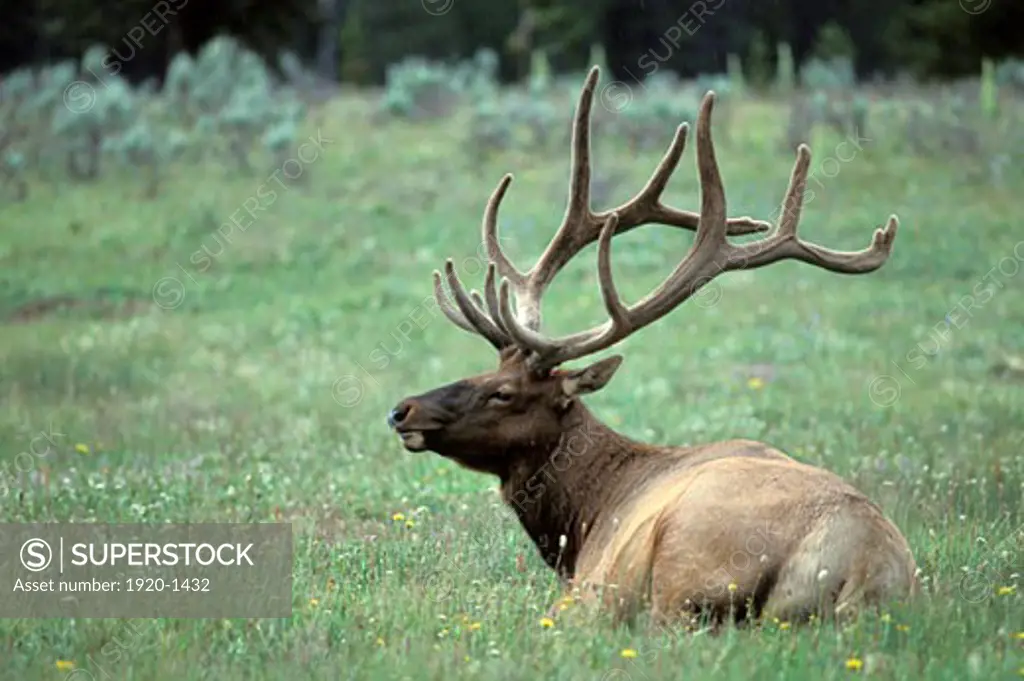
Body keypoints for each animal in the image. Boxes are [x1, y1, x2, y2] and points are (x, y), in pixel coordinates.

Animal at [387, 67, 917, 626]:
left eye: (503, 392)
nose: (403, 410)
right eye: (486, 370)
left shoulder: (587, 585)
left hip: (682, 570)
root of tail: (863, 567)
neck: (583, 517)